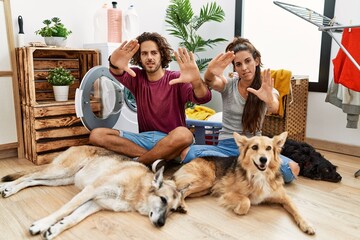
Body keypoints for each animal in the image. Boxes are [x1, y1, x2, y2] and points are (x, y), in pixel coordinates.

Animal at [0, 145, 186, 239]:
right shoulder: (90, 191)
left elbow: (73, 219)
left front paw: (55, 229)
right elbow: (64, 210)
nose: (161, 224)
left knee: (32, 180)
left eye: (173, 210)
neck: (137, 190)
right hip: (59, 171)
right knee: (29, 175)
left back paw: (9, 187)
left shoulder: (94, 204)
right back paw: (7, 188)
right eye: (163, 199)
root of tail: (78, 144)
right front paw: (42, 224)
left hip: (61, 179)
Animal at [172, 131, 316, 234]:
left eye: (269, 148)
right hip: (207, 181)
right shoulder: (228, 193)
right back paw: (182, 206)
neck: (260, 175)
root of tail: (195, 159)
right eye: (254, 147)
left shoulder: (284, 197)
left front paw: (307, 225)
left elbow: (296, 209)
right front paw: (238, 209)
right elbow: (246, 202)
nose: (263, 159)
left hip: (204, 189)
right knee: (181, 191)